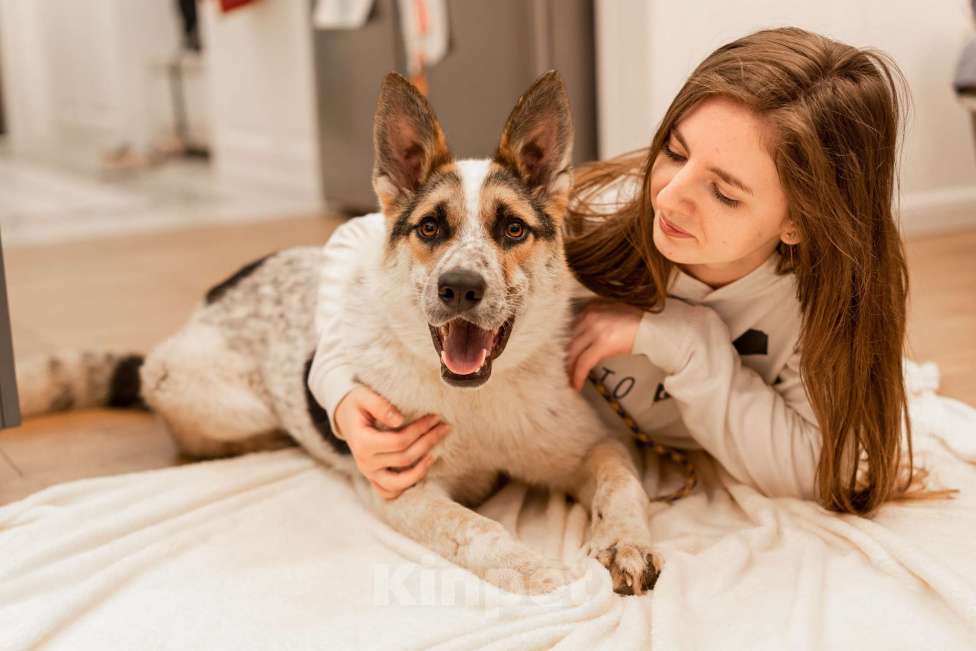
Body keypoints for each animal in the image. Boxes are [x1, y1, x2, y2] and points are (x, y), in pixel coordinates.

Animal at [21, 71, 664, 596]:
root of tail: (218, 292)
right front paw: (534, 571)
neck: (478, 398)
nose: (458, 288)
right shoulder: (401, 488)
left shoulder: (594, 446)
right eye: (430, 228)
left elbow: (623, 485)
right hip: (209, 394)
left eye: (512, 229)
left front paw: (627, 541)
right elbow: (475, 527)